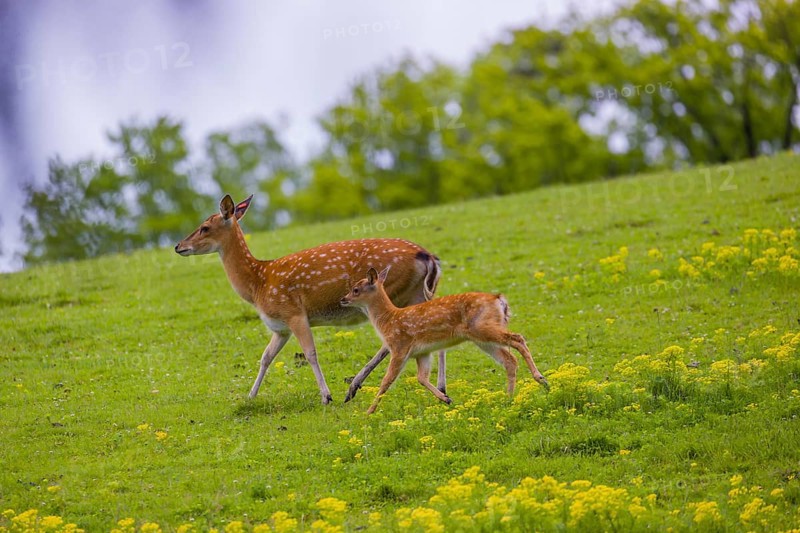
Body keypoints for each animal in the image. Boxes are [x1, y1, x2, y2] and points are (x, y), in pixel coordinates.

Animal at [174, 194, 447, 405]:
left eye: (204, 227)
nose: (178, 246)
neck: (258, 285)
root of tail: (428, 257)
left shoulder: (294, 312)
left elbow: (310, 353)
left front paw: (326, 396)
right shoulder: (280, 327)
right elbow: (265, 357)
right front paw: (250, 396)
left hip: (391, 292)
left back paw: (353, 387)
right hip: (417, 292)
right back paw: (441, 388)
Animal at [340, 266, 550, 414]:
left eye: (356, 289)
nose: (343, 299)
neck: (389, 320)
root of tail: (499, 299)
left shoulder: (399, 347)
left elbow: (386, 381)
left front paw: (369, 412)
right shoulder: (422, 352)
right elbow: (421, 378)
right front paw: (446, 399)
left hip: (483, 328)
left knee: (518, 339)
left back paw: (541, 379)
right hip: (482, 338)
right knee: (509, 359)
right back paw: (509, 397)